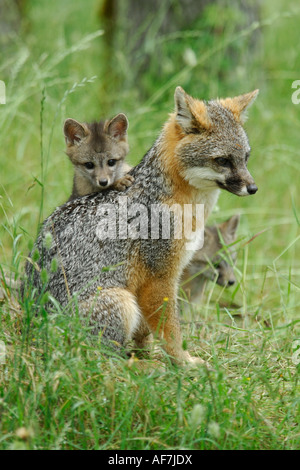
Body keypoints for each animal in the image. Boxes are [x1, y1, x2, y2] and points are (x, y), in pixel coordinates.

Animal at [24, 86, 258, 366]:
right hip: (122, 302)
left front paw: (149, 353)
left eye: (245, 158)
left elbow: (147, 331)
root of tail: (33, 328)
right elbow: (170, 329)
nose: (253, 188)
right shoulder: (160, 276)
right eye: (223, 161)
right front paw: (183, 362)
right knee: (106, 360)